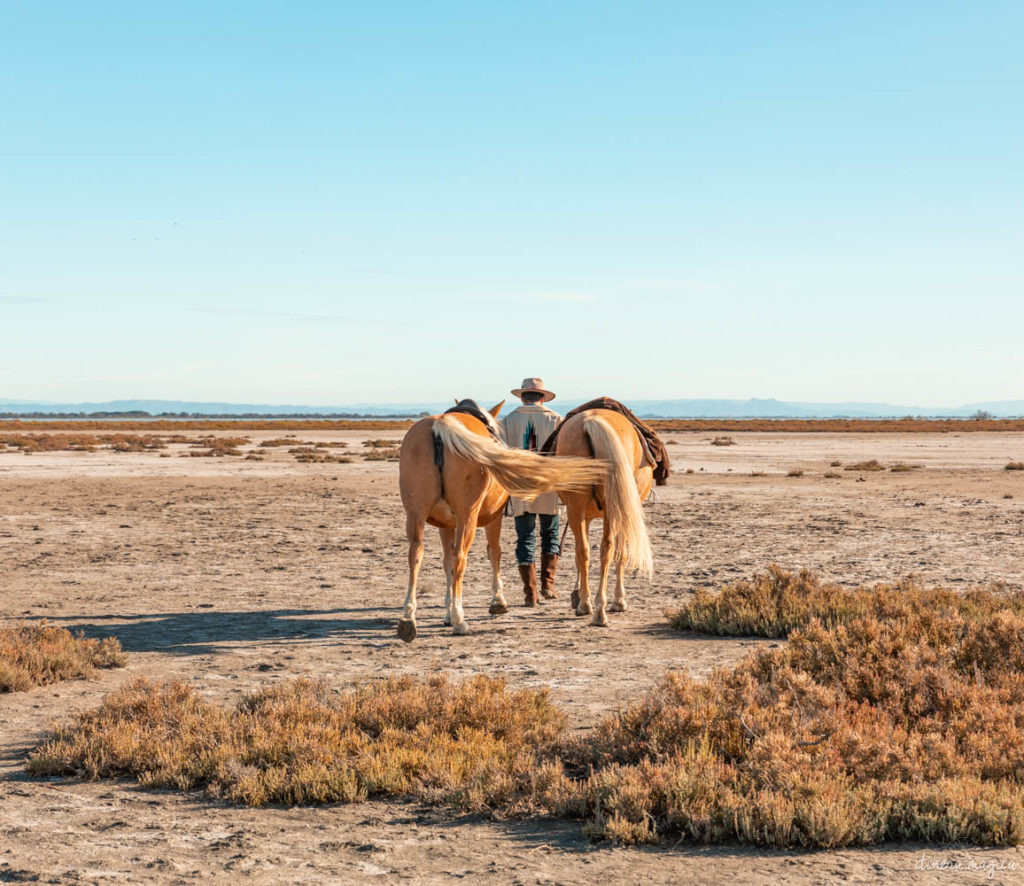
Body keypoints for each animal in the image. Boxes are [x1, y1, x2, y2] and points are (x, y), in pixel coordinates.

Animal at [397, 401, 606, 643]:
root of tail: (439, 427)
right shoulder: (493, 518)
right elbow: (493, 552)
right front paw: (497, 601)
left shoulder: (446, 525)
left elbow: (446, 563)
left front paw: (447, 612)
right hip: (467, 515)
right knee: (460, 557)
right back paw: (460, 620)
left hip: (415, 515)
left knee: (416, 555)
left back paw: (408, 619)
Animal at [557, 409, 651, 626]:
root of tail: (592, 420)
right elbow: (621, 554)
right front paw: (619, 600)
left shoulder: (585, 515)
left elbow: (582, 555)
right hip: (611, 510)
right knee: (606, 548)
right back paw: (597, 609)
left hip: (576, 507)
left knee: (584, 550)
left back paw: (588, 605)